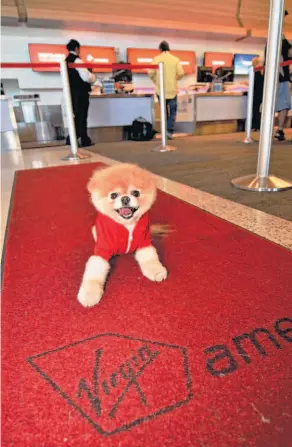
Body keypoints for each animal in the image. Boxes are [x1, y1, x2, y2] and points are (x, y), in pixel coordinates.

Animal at [77, 164, 168, 308]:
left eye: (135, 193)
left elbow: (150, 259)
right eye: (113, 195)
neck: (127, 225)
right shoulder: (102, 250)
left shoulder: (144, 243)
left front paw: (156, 271)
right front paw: (89, 294)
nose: (125, 198)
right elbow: (94, 272)